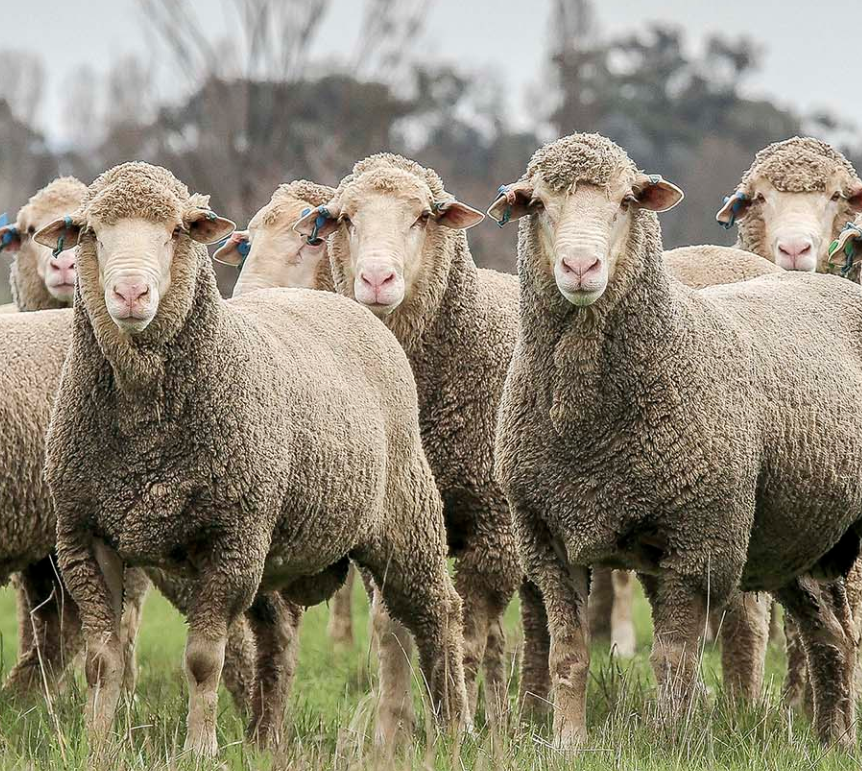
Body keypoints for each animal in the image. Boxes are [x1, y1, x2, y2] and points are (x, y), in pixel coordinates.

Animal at [35, 161, 467, 756]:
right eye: (91, 234)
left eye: (177, 231)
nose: (130, 291)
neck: (144, 425)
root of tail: (349, 305)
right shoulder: (85, 535)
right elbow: (103, 662)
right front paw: (97, 747)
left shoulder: (230, 540)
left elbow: (202, 660)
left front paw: (199, 749)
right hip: (276, 546)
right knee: (277, 637)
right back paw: (267, 738)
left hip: (406, 515)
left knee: (438, 612)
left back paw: (457, 730)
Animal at [294, 155, 553, 723]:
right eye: (346, 219)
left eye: (421, 217)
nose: (376, 278)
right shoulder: (394, 517)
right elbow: (392, 630)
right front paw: (395, 720)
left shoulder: (493, 529)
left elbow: (469, 635)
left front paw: (463, 716)